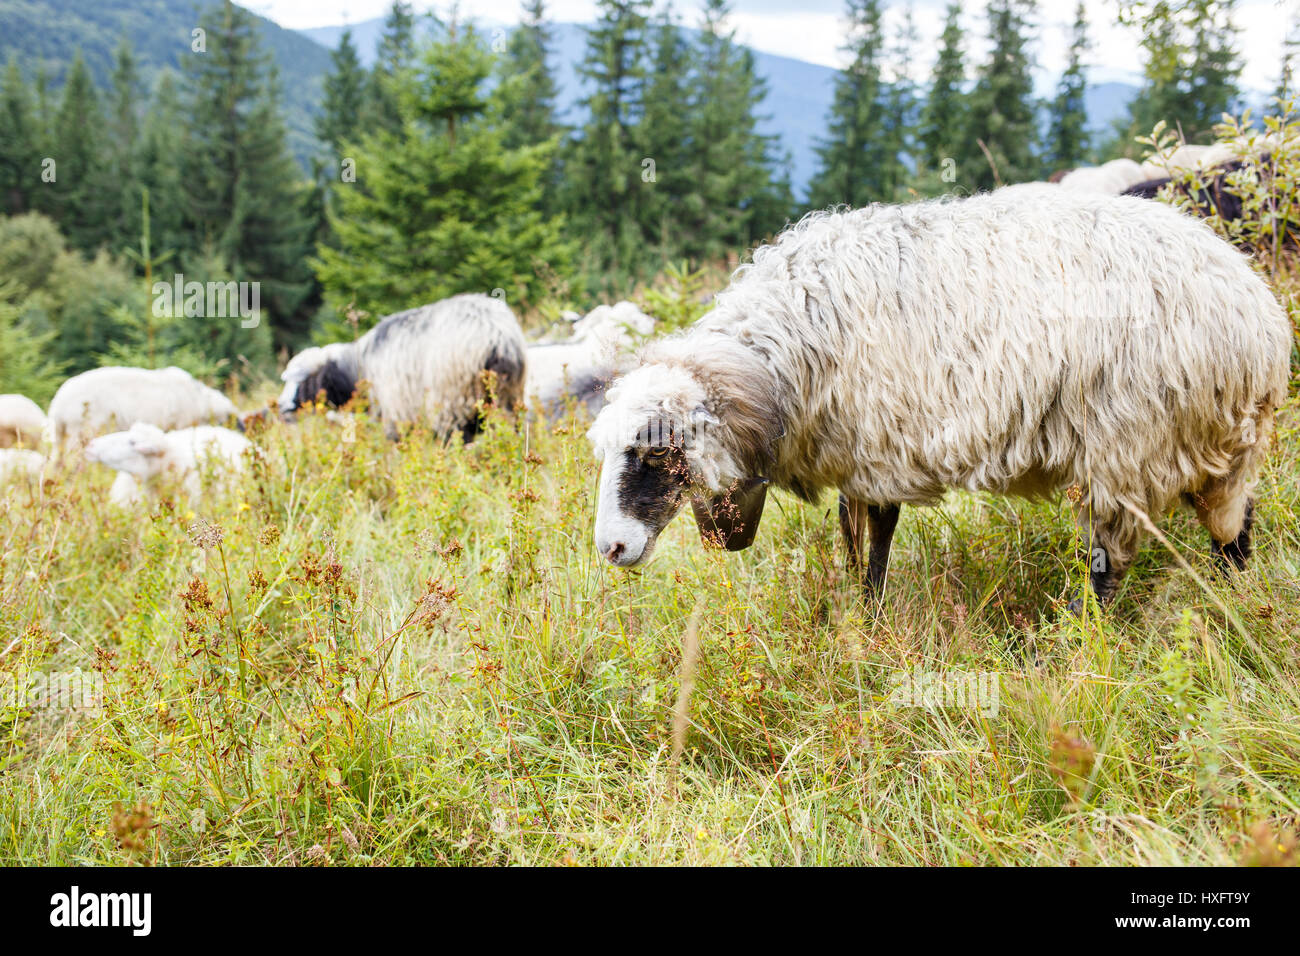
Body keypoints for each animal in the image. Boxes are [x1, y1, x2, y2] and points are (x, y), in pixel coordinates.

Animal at [278, 293, 526, 442]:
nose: (282, 406)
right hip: (508, 399)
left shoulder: (394, 412)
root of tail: (498, 338)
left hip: (452, 401)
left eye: (304, 380)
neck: (358, 366)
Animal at [587, 187, 1292, 611]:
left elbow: (876, 536)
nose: (610, 549)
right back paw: (1234, 601)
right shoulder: (855, 452)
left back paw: (1083, 634)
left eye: (654, 452)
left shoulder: (877, 445)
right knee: (1233, 527)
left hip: (1130, 444)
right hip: (1219, 445)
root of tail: (1257, 317)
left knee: (1109, 561)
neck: (783, 358)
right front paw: (856, 611)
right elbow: (853, 537)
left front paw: (868, 618)